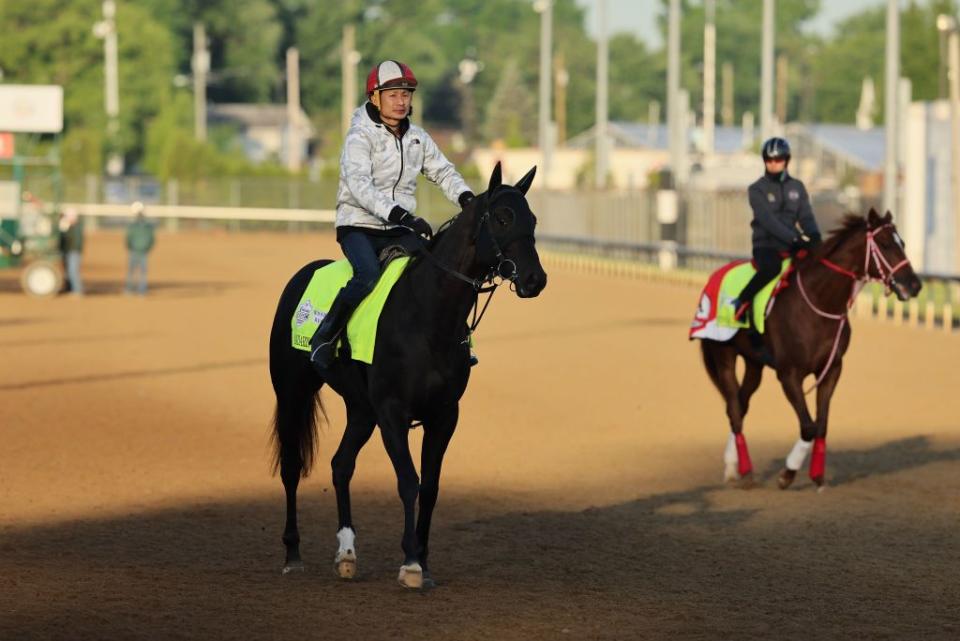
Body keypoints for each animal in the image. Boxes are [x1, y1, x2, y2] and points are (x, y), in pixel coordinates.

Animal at [268, 160, 548, 584]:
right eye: (502, 217)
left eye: (531, 218)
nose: (535, 279)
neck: (428, 316)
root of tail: (300, 278)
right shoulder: (392, 413)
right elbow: (408, 481)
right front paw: (412, 561)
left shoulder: (443, 415)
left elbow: (430, 486)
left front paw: (424, 560)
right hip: (292, 394)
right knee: (291, 466)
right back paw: (292, 552)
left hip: (360, 409)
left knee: (341, 466)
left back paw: (347, 553)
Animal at [696, 208, 924, 488]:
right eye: (884, 244)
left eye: (902, 243)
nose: (914, 285)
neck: (818, 303)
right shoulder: (789, 375)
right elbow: (809, 426)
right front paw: (787, 473)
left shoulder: (832, 370)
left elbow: (821, 424)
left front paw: (816, 474)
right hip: (724, 354)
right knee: (734, 408)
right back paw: (741, 470)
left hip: (754, 363)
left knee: (739, 404)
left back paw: (734, 467)